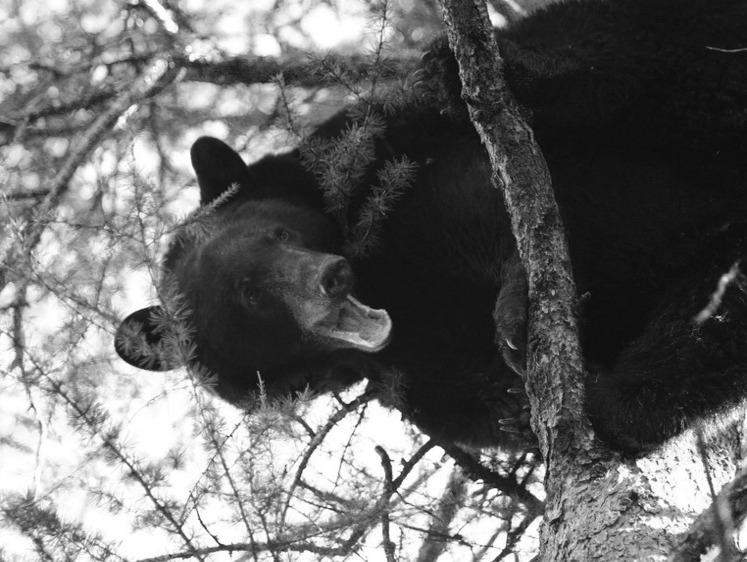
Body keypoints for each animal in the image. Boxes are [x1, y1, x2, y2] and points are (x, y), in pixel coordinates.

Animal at [115, 0, 747, 450]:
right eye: (250, 295)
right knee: (707, 330)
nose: (329, 278)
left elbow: (565, 205)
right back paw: (615, 402)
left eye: (280, 235)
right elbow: (472, 403)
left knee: (605, 57)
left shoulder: (382, 149)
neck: (387, 277)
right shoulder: (412, 369)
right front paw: (518, 403)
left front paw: (520, 304)